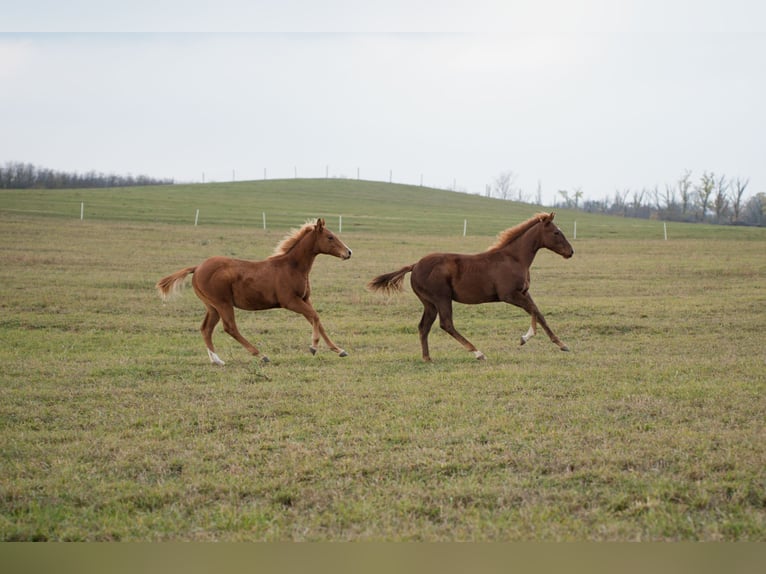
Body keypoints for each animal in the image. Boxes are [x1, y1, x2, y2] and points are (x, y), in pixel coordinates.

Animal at [156, 218, 352, 365]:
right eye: (330, 237)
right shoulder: (290, 301)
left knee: (206, 329)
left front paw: (339, 350)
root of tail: (197, 268)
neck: (291, 266)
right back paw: (261, 355)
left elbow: (317, 320)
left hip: (212, 306)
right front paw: (313, 347)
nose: (348, 252)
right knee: (230, 328)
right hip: (223, 303)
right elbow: (315, 317)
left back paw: (217, 360)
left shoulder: (305, 299)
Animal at [367, 212, 573, 361]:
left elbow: (537, 312)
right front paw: (533, 339)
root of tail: (415, 265)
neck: (514, 258)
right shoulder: (509, 295)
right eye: (556, 232)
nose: (571, 252)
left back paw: (427, 358)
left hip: (429, 303)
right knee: (446, 324)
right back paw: (478, 353)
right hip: (441, 298)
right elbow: (534, 310)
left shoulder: (523, 292)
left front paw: (558, 344)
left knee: (423, 327)